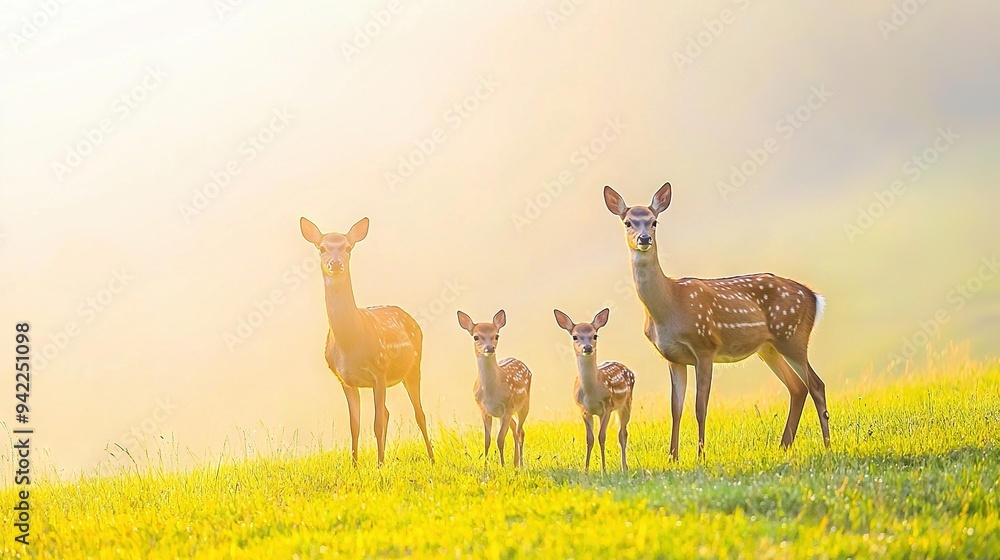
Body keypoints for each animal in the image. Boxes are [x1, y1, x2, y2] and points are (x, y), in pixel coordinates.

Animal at [300, 217, 434, 466]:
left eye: (348, 247)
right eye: (322, 248)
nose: (335, 263)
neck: (349, 343)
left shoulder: (379, 372)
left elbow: (377, 424)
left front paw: (379, 466)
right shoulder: (345, 380)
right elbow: (355, 426)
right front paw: (355, 465)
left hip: (413, 366)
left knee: (418, 413)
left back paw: (431, 458)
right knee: (389, 412)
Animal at [456, 310, 532, 468]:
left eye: (496, 335)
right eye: (476, 336)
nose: (489, 348)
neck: (491, 392)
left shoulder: (508, 407)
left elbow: (500, 439)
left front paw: (502, 465)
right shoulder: (484, 410)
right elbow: (487, 441)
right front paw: (485, 467)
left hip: (523, 405)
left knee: (520, 432)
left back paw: (520, 464)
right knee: (515, 430)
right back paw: (515, 463)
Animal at [552, 308, 636, 470]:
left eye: (595, 335)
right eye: (575, 336)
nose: (587, 347)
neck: (591, 392)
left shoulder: (607, 406)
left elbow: (602, 436)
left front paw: (604, 469)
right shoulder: (583, 410)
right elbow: (589, 439)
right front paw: (586, 470)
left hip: (626, 403)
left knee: (623, 433)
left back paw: (624, 467)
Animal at [604, 184, 832, 460]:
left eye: (654, 221)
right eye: (628, 222)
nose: (644, 239)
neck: (670, 305)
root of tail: (813, 297)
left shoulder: (704, 347)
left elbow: (700, 406)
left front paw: (700, 456)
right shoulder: (673, 357)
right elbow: (675, 409)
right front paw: (672, 457)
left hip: (792, 336)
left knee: (816, 385)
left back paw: (827, 445)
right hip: (768, 348)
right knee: (798, 387)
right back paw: (784, 446)